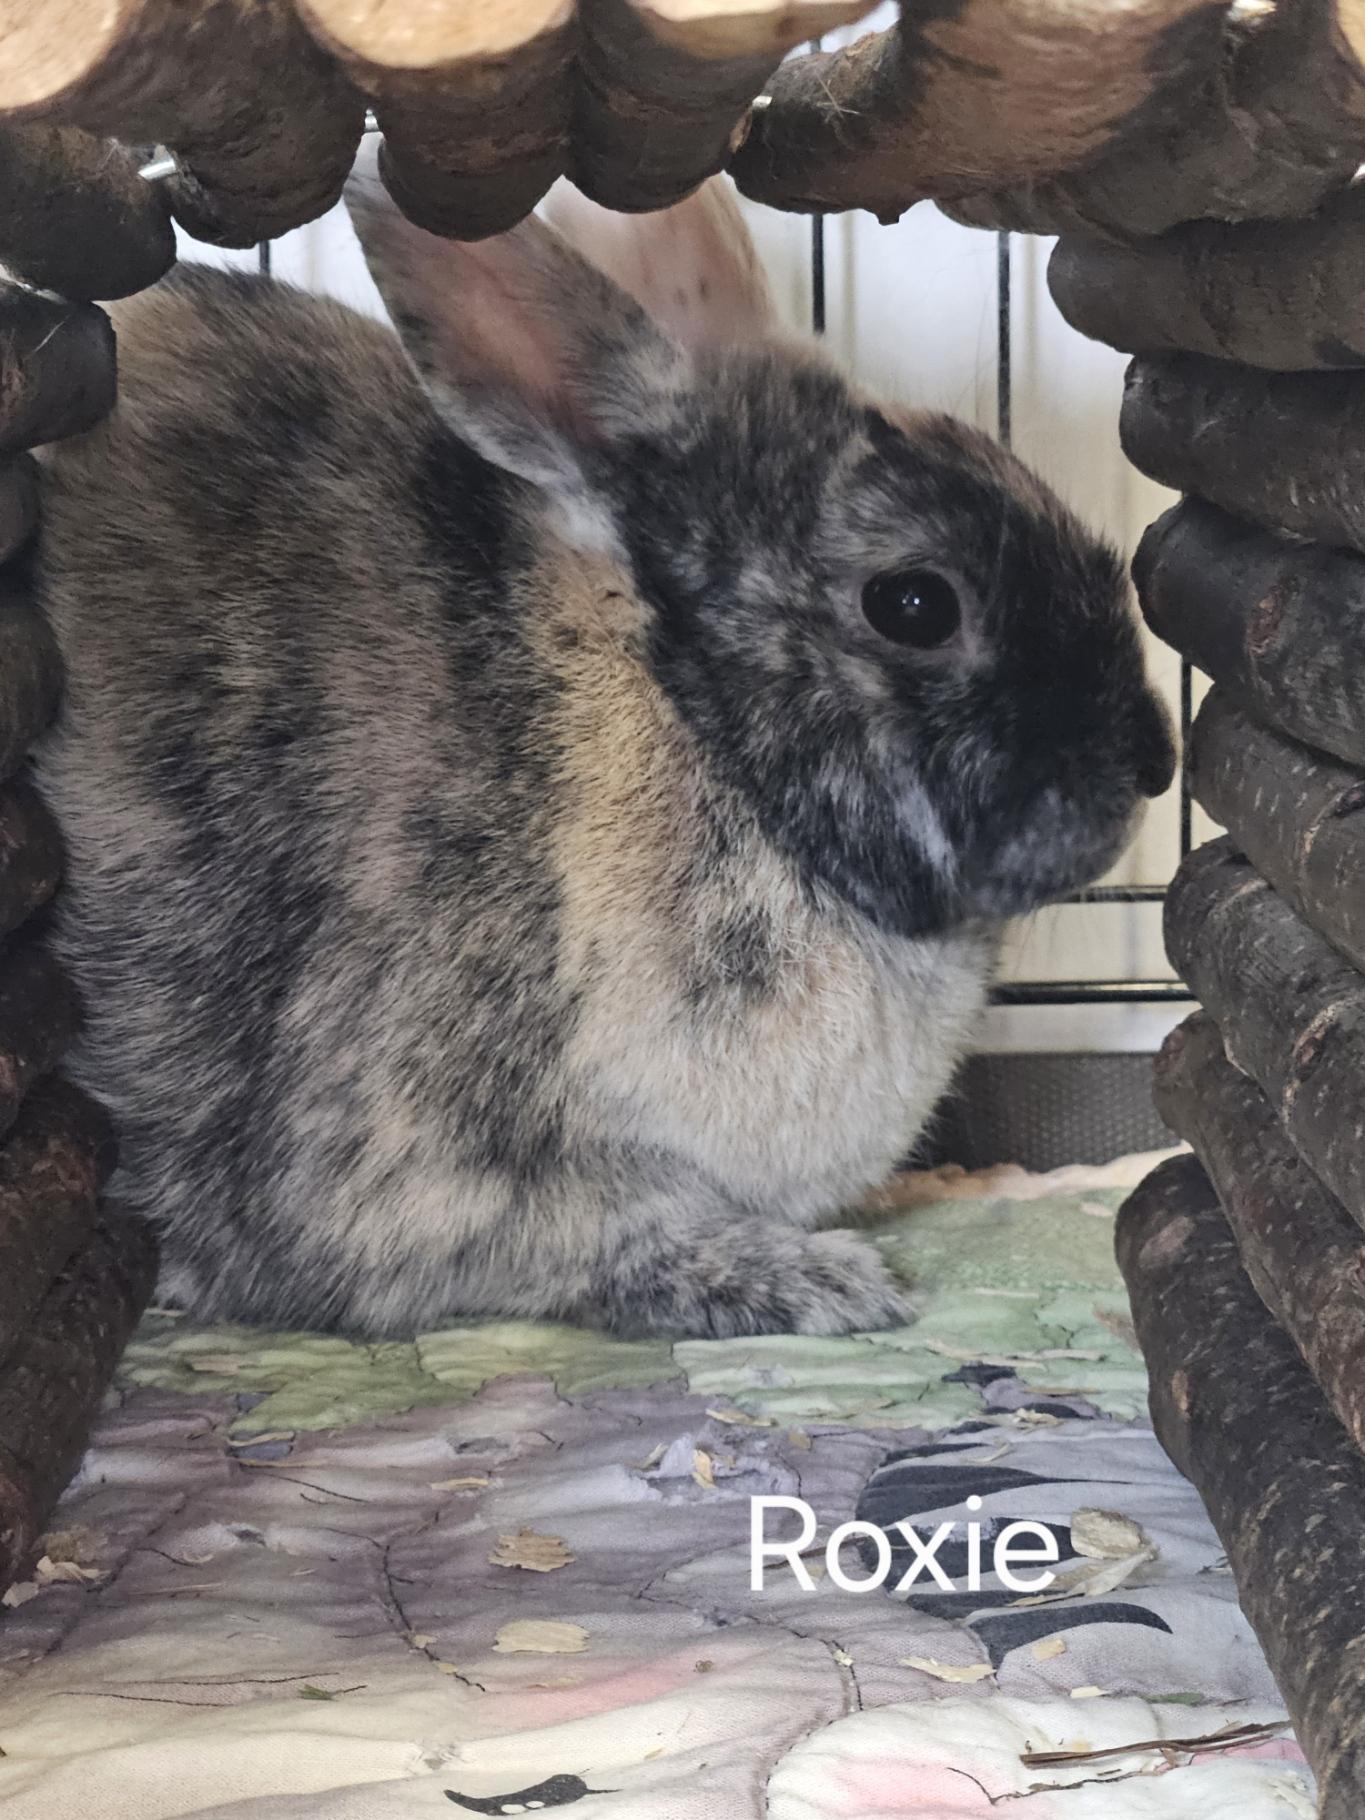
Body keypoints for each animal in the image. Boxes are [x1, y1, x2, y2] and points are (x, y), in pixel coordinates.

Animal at [29, 153, 1175, 1340]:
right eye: (914, 604)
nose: (1153, 759)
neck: (686, 721)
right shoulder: (437, 1173)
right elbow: (604, 1244)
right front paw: (821, 1282)